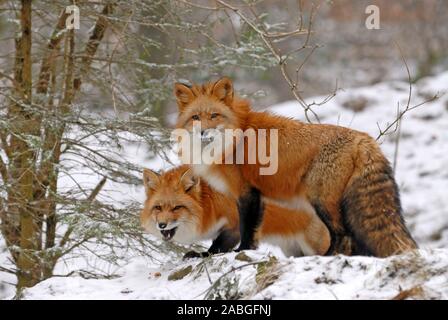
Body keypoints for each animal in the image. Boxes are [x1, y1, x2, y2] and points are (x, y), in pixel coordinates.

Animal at [142, 165, 330, 258]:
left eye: (177, 207)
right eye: (158, 207)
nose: (162, 224)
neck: (211, 204)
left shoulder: (234, 226)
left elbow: (217, 247)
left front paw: (201, 255)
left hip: (314, 246)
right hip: (292, 251)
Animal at [173, 77, 418, 258]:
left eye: (214, 115)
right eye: (195, 117)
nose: (203, 132)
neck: (233, 140)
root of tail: (364, 139)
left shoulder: (247, 192)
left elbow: (246, 229)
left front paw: (240, 252)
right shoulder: (259, 195)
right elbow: (253, 231)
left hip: (321, 201)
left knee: (343, 236)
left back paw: (326, 257)